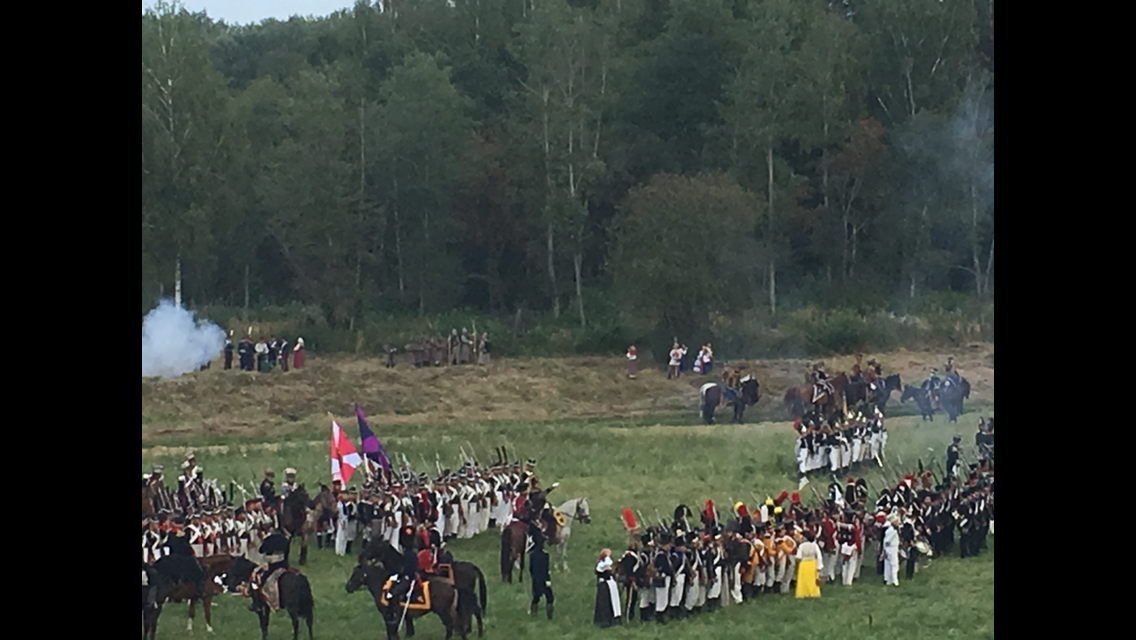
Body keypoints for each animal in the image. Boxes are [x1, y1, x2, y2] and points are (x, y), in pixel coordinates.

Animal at [346, 561, 479, 640]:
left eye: (355, 574)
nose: (348, 587)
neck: (383, 586)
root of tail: (451, 586)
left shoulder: (388, 615)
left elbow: (391, 631)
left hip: (443, 612)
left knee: (451, 626)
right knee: (458, 625)